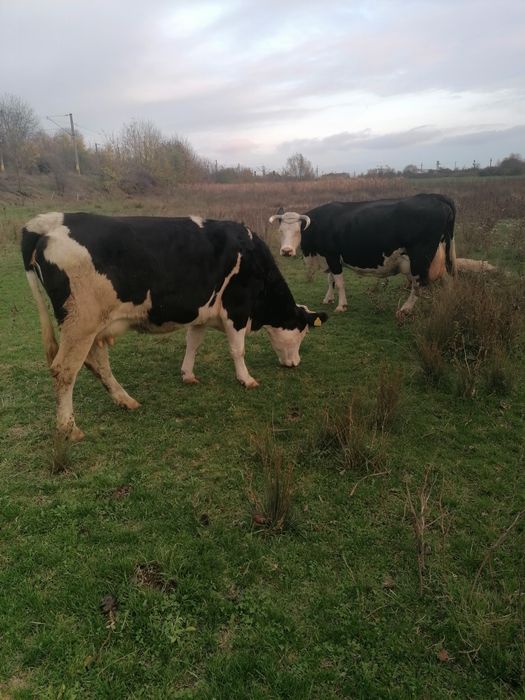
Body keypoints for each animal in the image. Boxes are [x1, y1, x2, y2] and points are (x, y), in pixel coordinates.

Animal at [22, 212, 327, 441]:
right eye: (302, 332)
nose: (295, 363)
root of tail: (49, 221)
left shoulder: (201, 312)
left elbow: (193, 343)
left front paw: (188, 374)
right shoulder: (237, 309)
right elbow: (237, 350)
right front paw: (246, 379)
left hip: (92, 326)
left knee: (98, 364)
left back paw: (125, 400)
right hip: (80, 323)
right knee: (64, 371)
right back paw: (69, 428)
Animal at [269, 194, 457, 318]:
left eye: (297, 231)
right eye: (280, 231)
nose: (286, 251)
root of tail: (434, 197)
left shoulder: (332, 256)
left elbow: (339, 282)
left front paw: (341, 305)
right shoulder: (329, 258)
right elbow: (330, 279)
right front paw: (328, 298)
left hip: (421, 257)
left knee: (419, 283)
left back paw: (405, 309)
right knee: (447, 281)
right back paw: (447, 305)